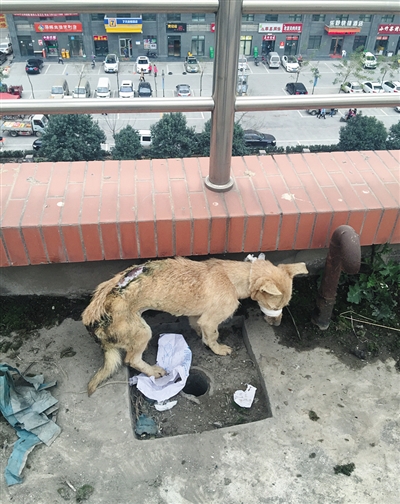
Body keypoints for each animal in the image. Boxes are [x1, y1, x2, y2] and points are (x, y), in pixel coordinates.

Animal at [81, 258, 306, 396]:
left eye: (285, 305)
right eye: (274, 307)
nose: (278, 323)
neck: (232, 277)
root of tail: (95, 323)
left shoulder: (198, 315)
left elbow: (198, 326)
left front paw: (200, 335)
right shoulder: (211, 320)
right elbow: (213, 336)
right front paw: (217, 348)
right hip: (143, 332)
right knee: (131, 359)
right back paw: (153, 371)